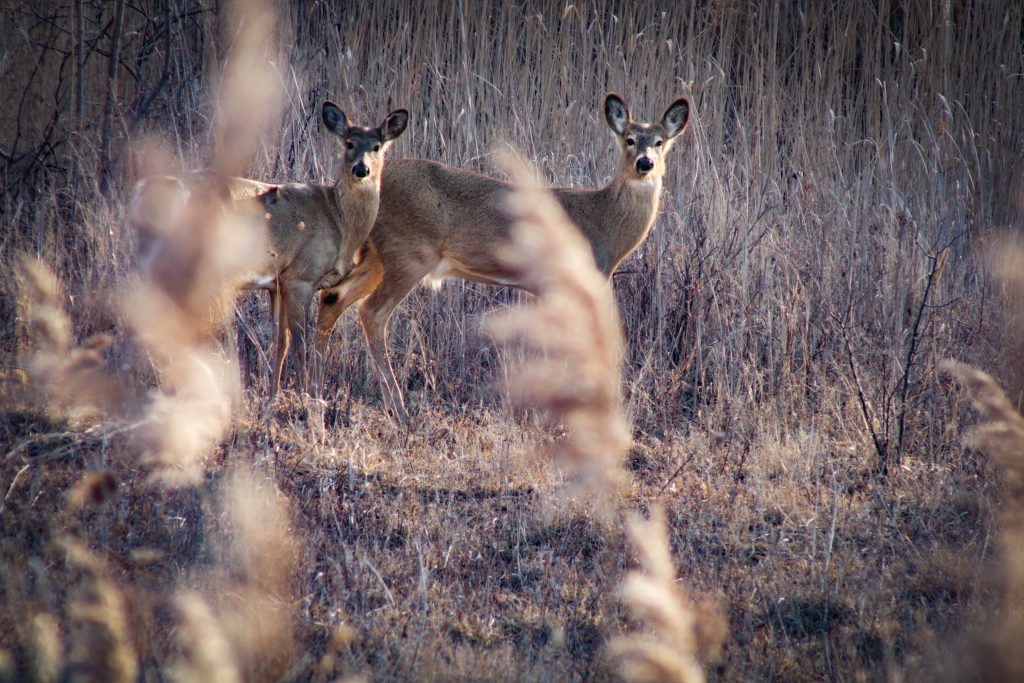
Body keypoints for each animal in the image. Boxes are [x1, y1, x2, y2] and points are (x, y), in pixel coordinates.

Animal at [129, 101, 409, 397]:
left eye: (377, 146)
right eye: (349, 143)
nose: (361, 170)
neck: (339, 220)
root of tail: (143, 193)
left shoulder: (277, 283)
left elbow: (280, 343)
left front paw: (273, 395)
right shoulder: (301, 276)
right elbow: (299, 344)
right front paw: (306, 397)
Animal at [313, 93, 690, 423]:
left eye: (659, 141)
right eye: (629, 139)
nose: (645, 163)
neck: (602, 223)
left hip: (377, 256)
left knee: (334, 296)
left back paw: (313, 386)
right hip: (408, 253)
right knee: (372, 311)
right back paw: (398, 408)